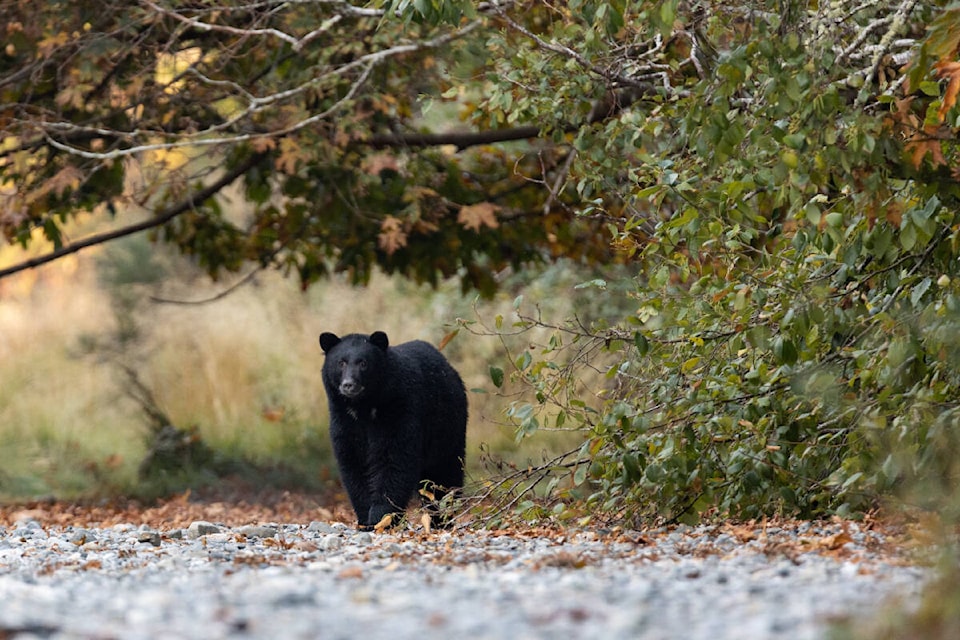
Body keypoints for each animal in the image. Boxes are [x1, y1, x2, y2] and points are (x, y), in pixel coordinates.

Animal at [318, 330, 468, 528]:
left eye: (363, 363)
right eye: (341, 363)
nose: (348, 385)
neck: (364, 406)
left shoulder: (398, 409)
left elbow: (393, 459)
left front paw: (381, 518)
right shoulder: (344, 421)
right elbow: (354, 463)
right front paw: (365, 519)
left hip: (447, 426)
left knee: (445, 473)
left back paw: (442, 518)